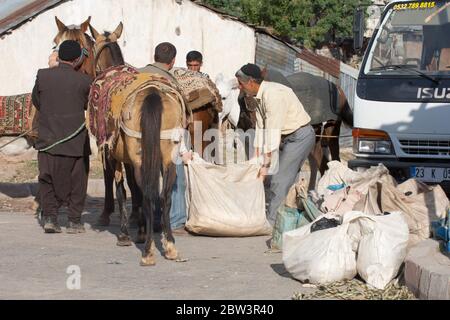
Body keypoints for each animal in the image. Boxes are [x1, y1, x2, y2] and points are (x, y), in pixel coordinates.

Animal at [89, 23, 185, 264]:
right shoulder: (131, 160)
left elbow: (123, 191)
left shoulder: (114, 156)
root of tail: (152, 93)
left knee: (149, 194)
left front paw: (126, 234)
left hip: (140, 158)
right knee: (164, 196)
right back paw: (169, 245)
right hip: (167, 157)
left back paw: (149, 250)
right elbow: (135, 191)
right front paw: (140, 230)